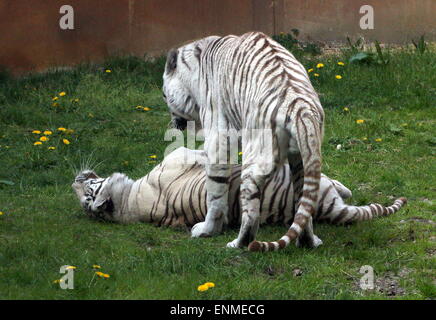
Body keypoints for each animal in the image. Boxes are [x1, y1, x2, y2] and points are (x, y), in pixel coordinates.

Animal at [162, 31, 326, 251]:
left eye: (164, 95)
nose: (173, 122)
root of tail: (300, 107)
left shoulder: (217, 138)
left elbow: (214, 192)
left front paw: (207, 230)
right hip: (304, 159)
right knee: (304, 200)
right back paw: (309, 241)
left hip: (255, 160)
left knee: (251, 211)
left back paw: (239, 243)